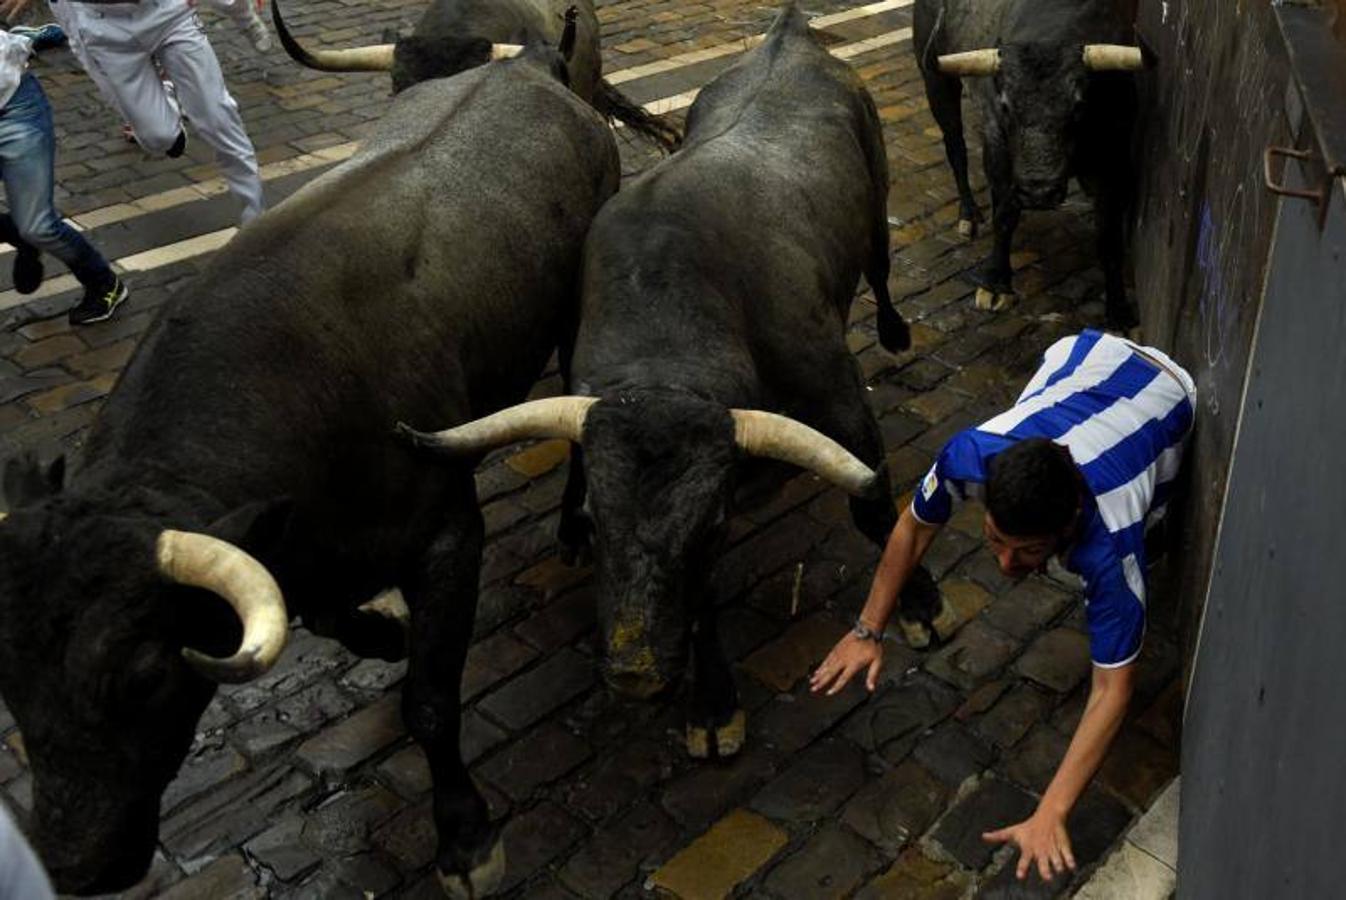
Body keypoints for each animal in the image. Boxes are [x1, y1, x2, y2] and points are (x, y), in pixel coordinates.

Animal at [0, 40, 616, 893]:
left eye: (145, 676)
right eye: (9, 683)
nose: (73, 864)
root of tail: (528, 62)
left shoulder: (448, 534)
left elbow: (431, 701)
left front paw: (466, 838)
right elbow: (333, 619)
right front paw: (385, 633)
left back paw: (575, 527)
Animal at [409, 5, 947, 758]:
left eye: (716, 522)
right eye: (594, 520)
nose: (635, 674)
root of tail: (789, 33)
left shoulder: (836, 398)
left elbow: (875, 507)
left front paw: (921, 605)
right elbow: (698, 597)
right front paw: (714, 704)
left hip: (876, 202)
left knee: (881, 267)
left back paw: (896, 333)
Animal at [915, 0, 1146, 329]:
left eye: (1079, 105)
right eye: (1005, 105)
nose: (1039, 192)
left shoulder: (1115, 163)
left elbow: (1109, 239)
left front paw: (1118, 311)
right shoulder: (996, 142)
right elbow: (1005, 216)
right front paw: (995, 284)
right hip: (936, 80)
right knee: (956, 148)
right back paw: (969, 215)